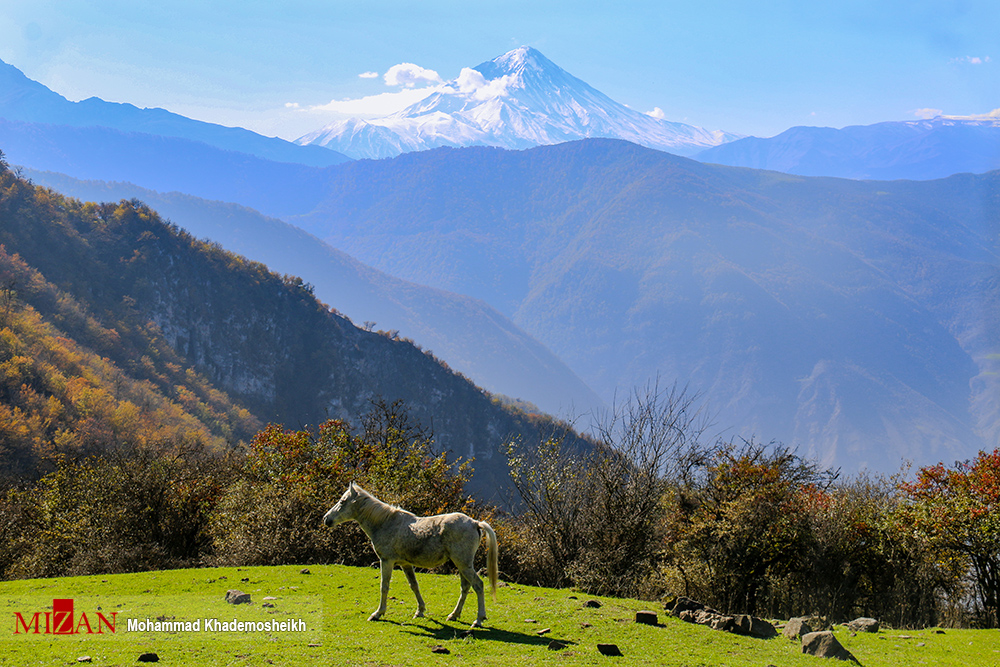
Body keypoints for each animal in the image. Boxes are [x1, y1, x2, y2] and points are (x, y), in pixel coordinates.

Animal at [324, 482, 500, 628]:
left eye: (342, 501)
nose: (326, 519)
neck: (385, 523)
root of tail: (475, 523)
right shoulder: (405, 564)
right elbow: (414, 586)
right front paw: (420, 611)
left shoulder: (386, 561)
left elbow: (384, 586)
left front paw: (378, 613)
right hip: (462, 565)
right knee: (465, 587)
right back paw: (454, 615)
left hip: (463, 564)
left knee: (478, 585)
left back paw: (478, 620)